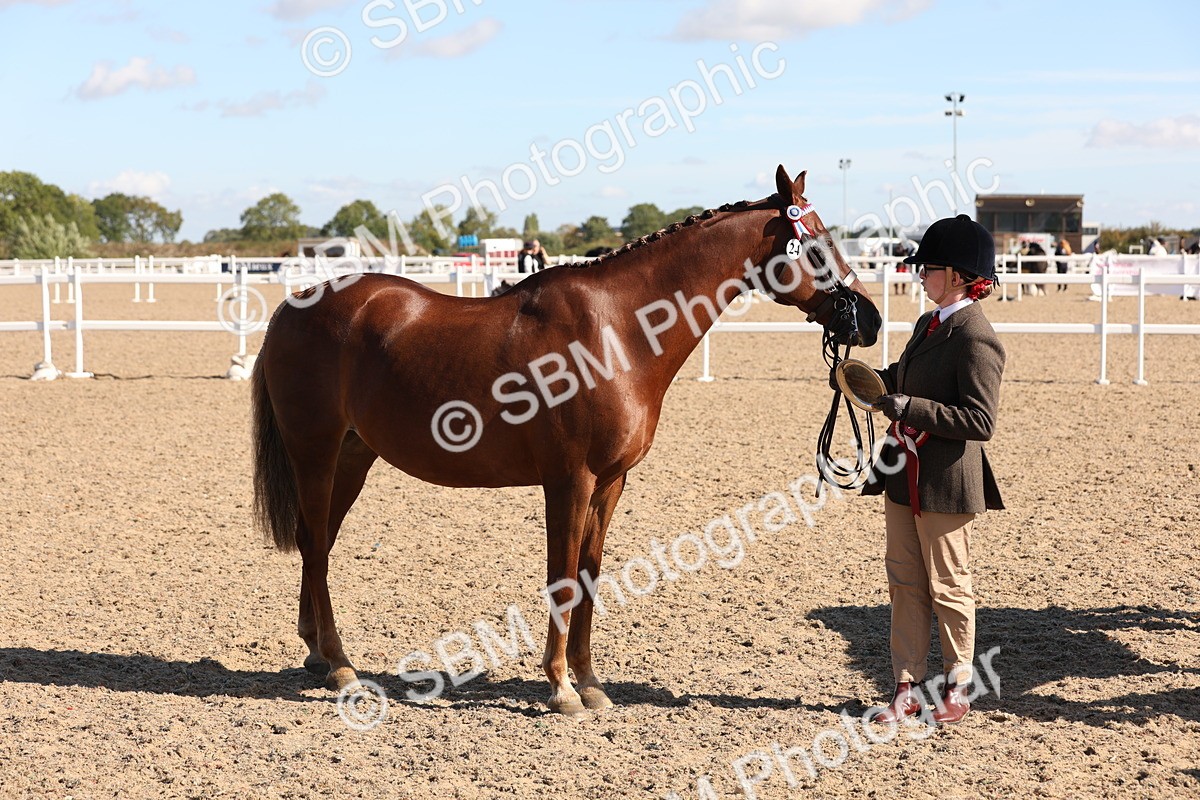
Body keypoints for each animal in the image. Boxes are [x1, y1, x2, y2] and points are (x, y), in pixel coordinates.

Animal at [251, 165, 883, 718]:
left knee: (317, 544)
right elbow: (561, 577)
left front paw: (590, 682)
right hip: (315, 453)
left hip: (353, 457)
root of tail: (293, 305)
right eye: (817, 246)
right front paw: (560, 689)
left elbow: (589, 574)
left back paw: (317, 654)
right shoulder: (568, 481)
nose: (871, 321)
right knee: (314, 543)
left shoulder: (610, 483)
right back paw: (339, 665)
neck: (617, 329)